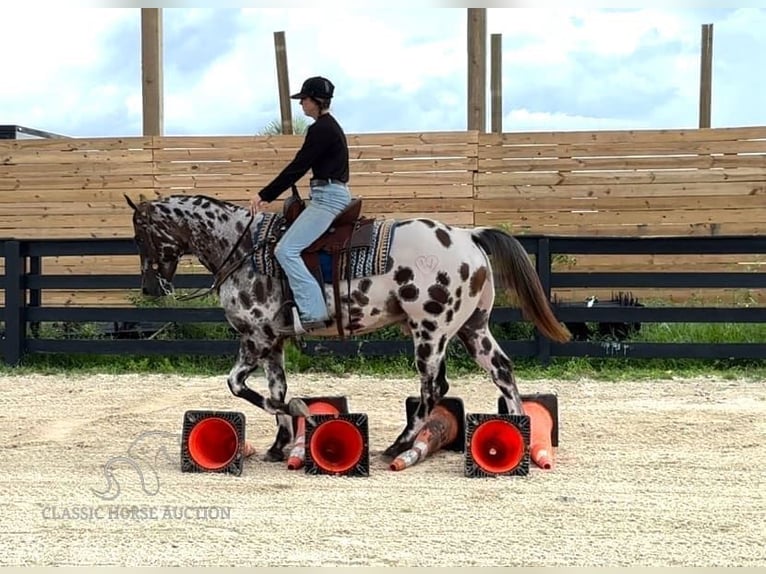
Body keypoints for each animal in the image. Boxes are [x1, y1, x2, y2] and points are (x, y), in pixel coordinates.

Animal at [124, 194, 568, 464]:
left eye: (140, 234)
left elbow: (239, 386)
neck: (241, 248)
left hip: (430, 332)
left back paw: (398, 445)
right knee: (502, 371)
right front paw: (280, 445)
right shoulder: (274, 343)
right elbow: (275, 390)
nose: (149, 287)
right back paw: (518, 434)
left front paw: (299, 415)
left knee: (433, 389)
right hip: (472, 330)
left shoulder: (256, 338)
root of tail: (466, 235)